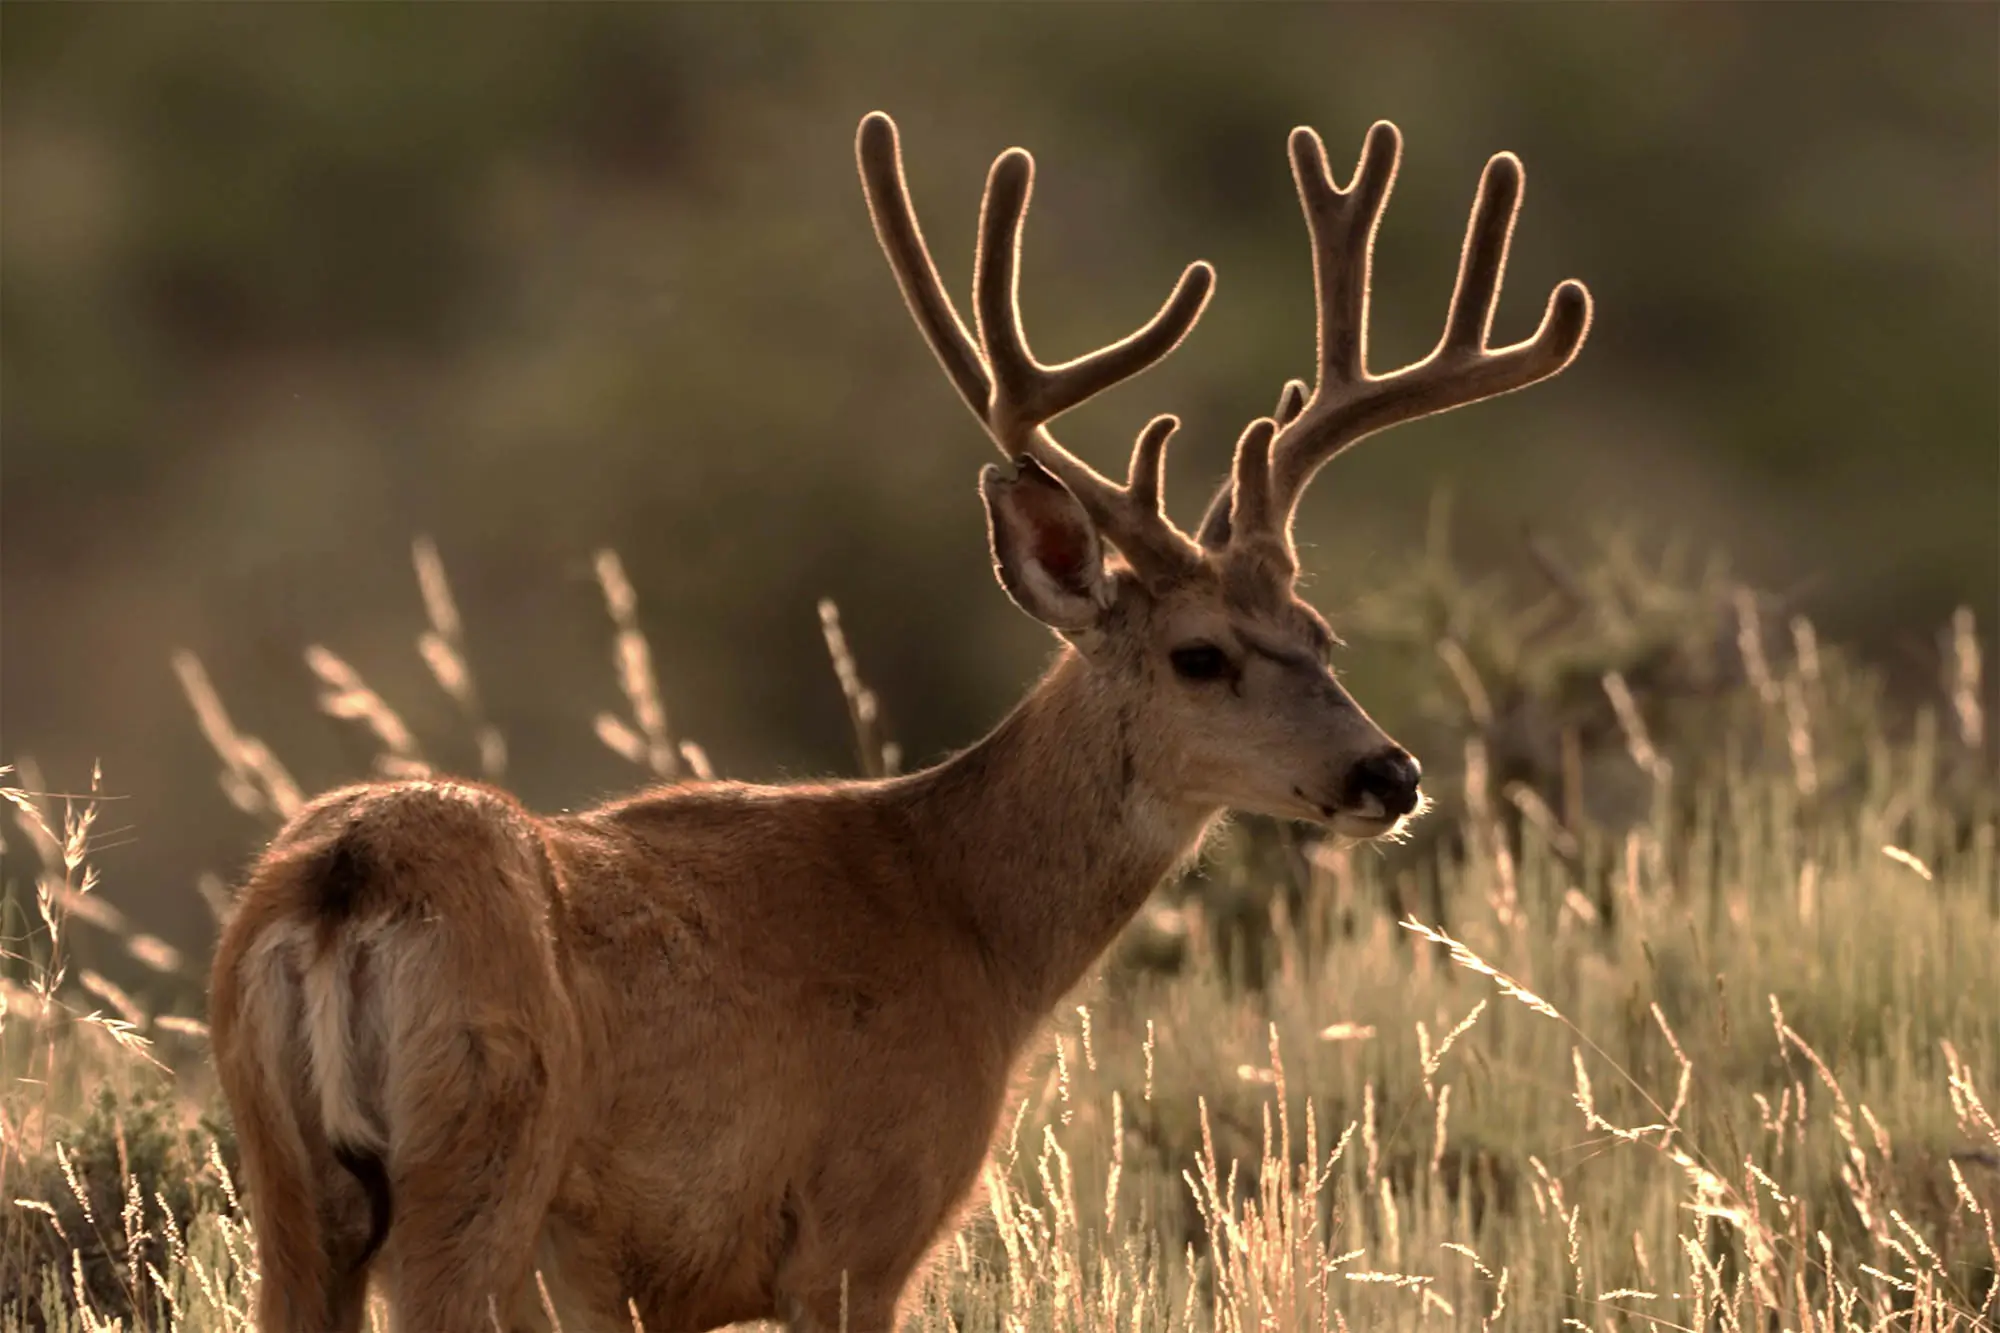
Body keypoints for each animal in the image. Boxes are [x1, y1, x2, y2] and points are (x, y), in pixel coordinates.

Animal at [207, 109, 1590, 1333]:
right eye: (1199, 655)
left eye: (1322, 635)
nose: (1387, 771)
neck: (969, 926)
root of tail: (347, 877)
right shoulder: (861, 1223)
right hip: (481, 1150)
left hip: (287, 1182)